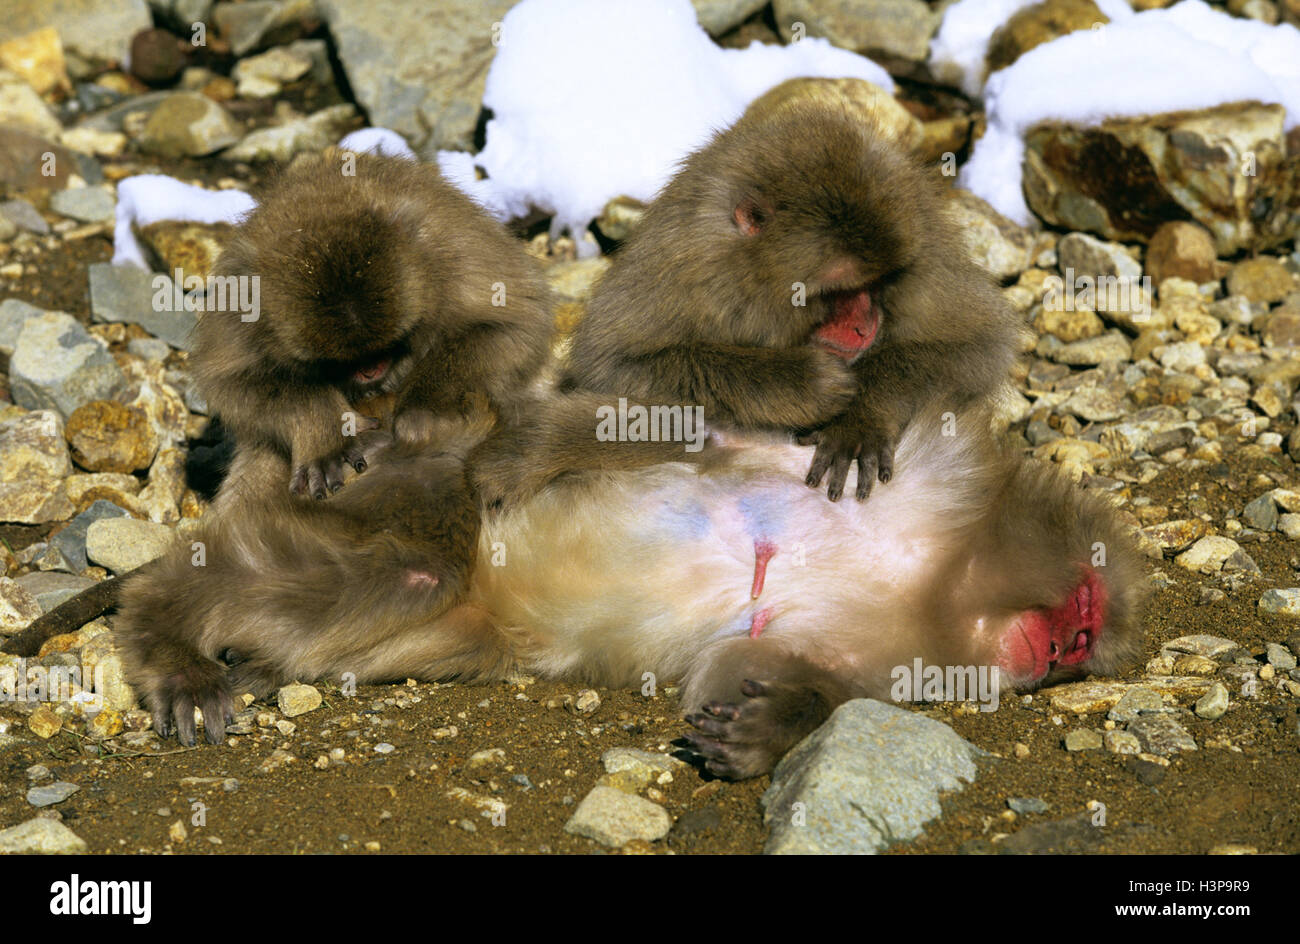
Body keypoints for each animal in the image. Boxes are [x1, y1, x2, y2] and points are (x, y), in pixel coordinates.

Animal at [116, 400, 1144, 774]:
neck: (935, 569)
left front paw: (765, 728)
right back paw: (168, 639)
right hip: (408, 496)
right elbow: (715, 439)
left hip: (458, 627)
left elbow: (755, 666)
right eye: (1081, 622)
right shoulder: (932, 467)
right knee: (380, 564)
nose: (1056, 655)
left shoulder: (897, 653)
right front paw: (527, 451)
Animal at [195, 153, 551, 509]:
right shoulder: (241, 298)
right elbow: (232, 384)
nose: (369, 370)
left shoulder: (452, 253)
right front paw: (328, 435)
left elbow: (518, 326)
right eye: (337, 362)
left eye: (388, 346)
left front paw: (422, 413)